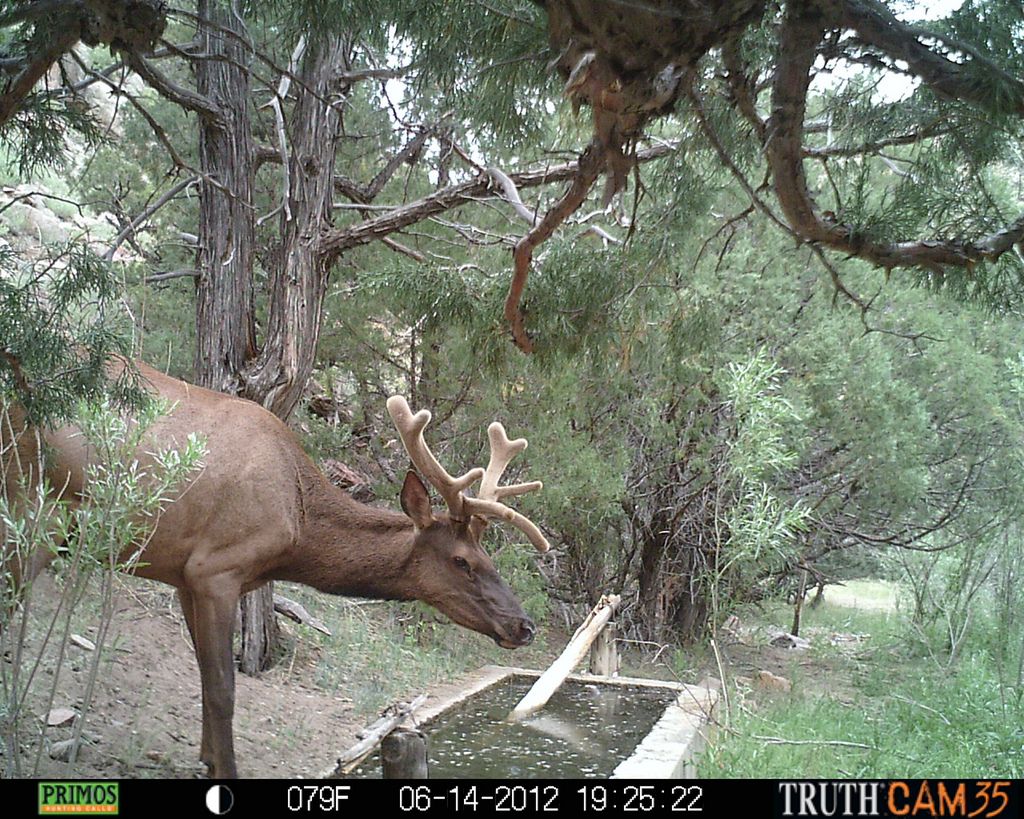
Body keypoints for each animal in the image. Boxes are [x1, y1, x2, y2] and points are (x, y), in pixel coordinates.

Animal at [2, 362, 552, 778]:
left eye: (489, 558)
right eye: (462, 561)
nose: (523, 625)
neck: (297, 529)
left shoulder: (184, 578)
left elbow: (203, 676)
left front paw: (206, 758)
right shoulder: (215, 569)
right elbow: (223, 688)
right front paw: (226, 770)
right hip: (34, 512)